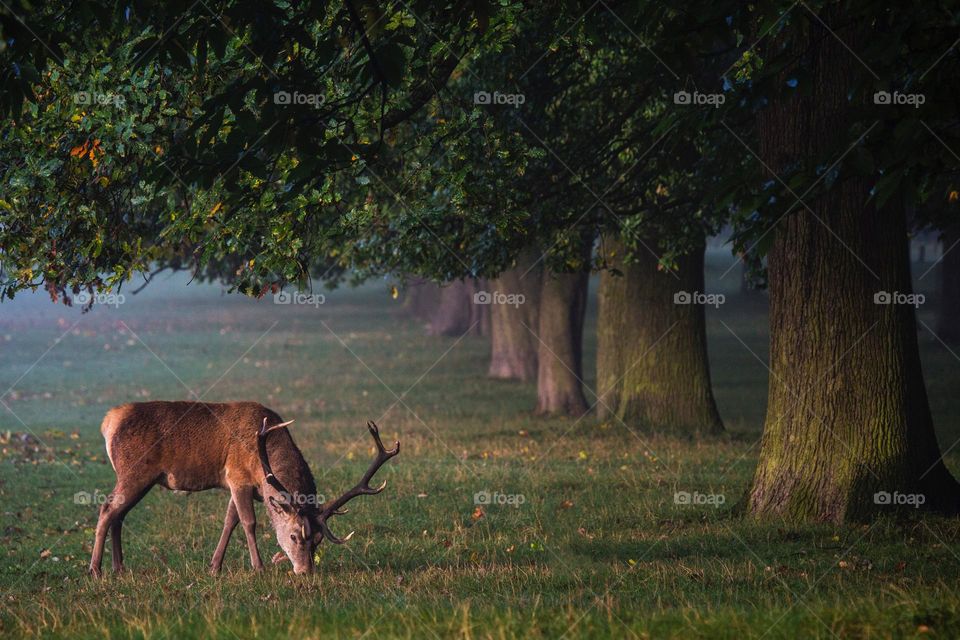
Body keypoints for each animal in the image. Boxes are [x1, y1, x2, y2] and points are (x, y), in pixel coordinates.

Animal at [88, 401, 399, 577]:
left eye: (319, 540)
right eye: (295, 536)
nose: (305, 571)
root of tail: (108, 421)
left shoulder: (239, 485)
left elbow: (230, 521)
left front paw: (214, 567)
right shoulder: (237, 476)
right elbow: (248, 522)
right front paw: (258, 567)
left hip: (142, 478)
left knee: (120, 515)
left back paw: (119, 567)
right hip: (134, 471)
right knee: (107, 508)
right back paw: (95, 569)